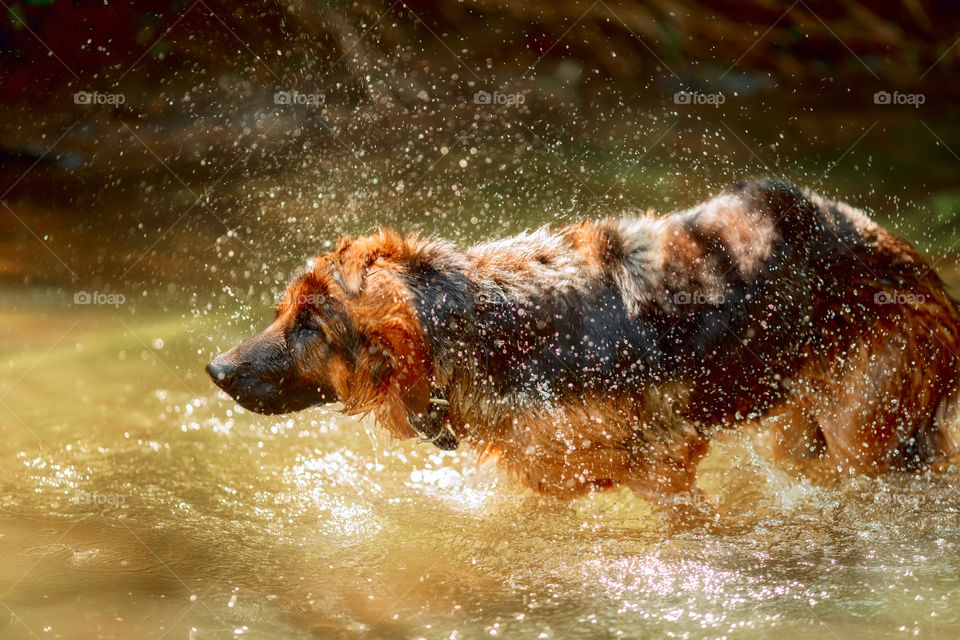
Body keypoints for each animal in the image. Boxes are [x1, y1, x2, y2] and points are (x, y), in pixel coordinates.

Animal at [206, 180, 960, 504]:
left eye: (309, 327)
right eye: (282, 311)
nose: (214, 368)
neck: (479, 325)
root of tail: (920, 270)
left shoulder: (665, 464)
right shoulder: (553, 478)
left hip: (865, 437)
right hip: (804, 434)